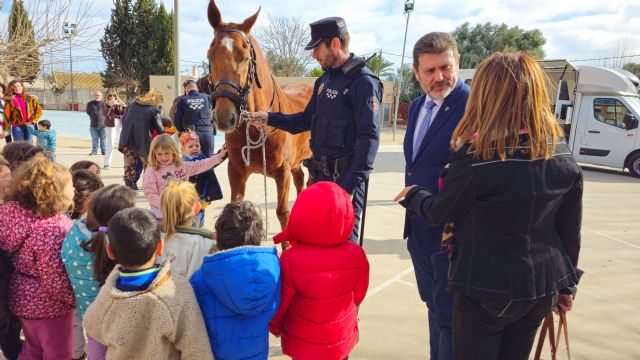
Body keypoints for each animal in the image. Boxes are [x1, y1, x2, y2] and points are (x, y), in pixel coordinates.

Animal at [206, 0, 314, 233]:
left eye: (246, 57)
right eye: (210, 56)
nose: (224, 117)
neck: (256, 129)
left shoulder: (282, 174)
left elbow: (282, 213)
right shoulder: (236, 172)